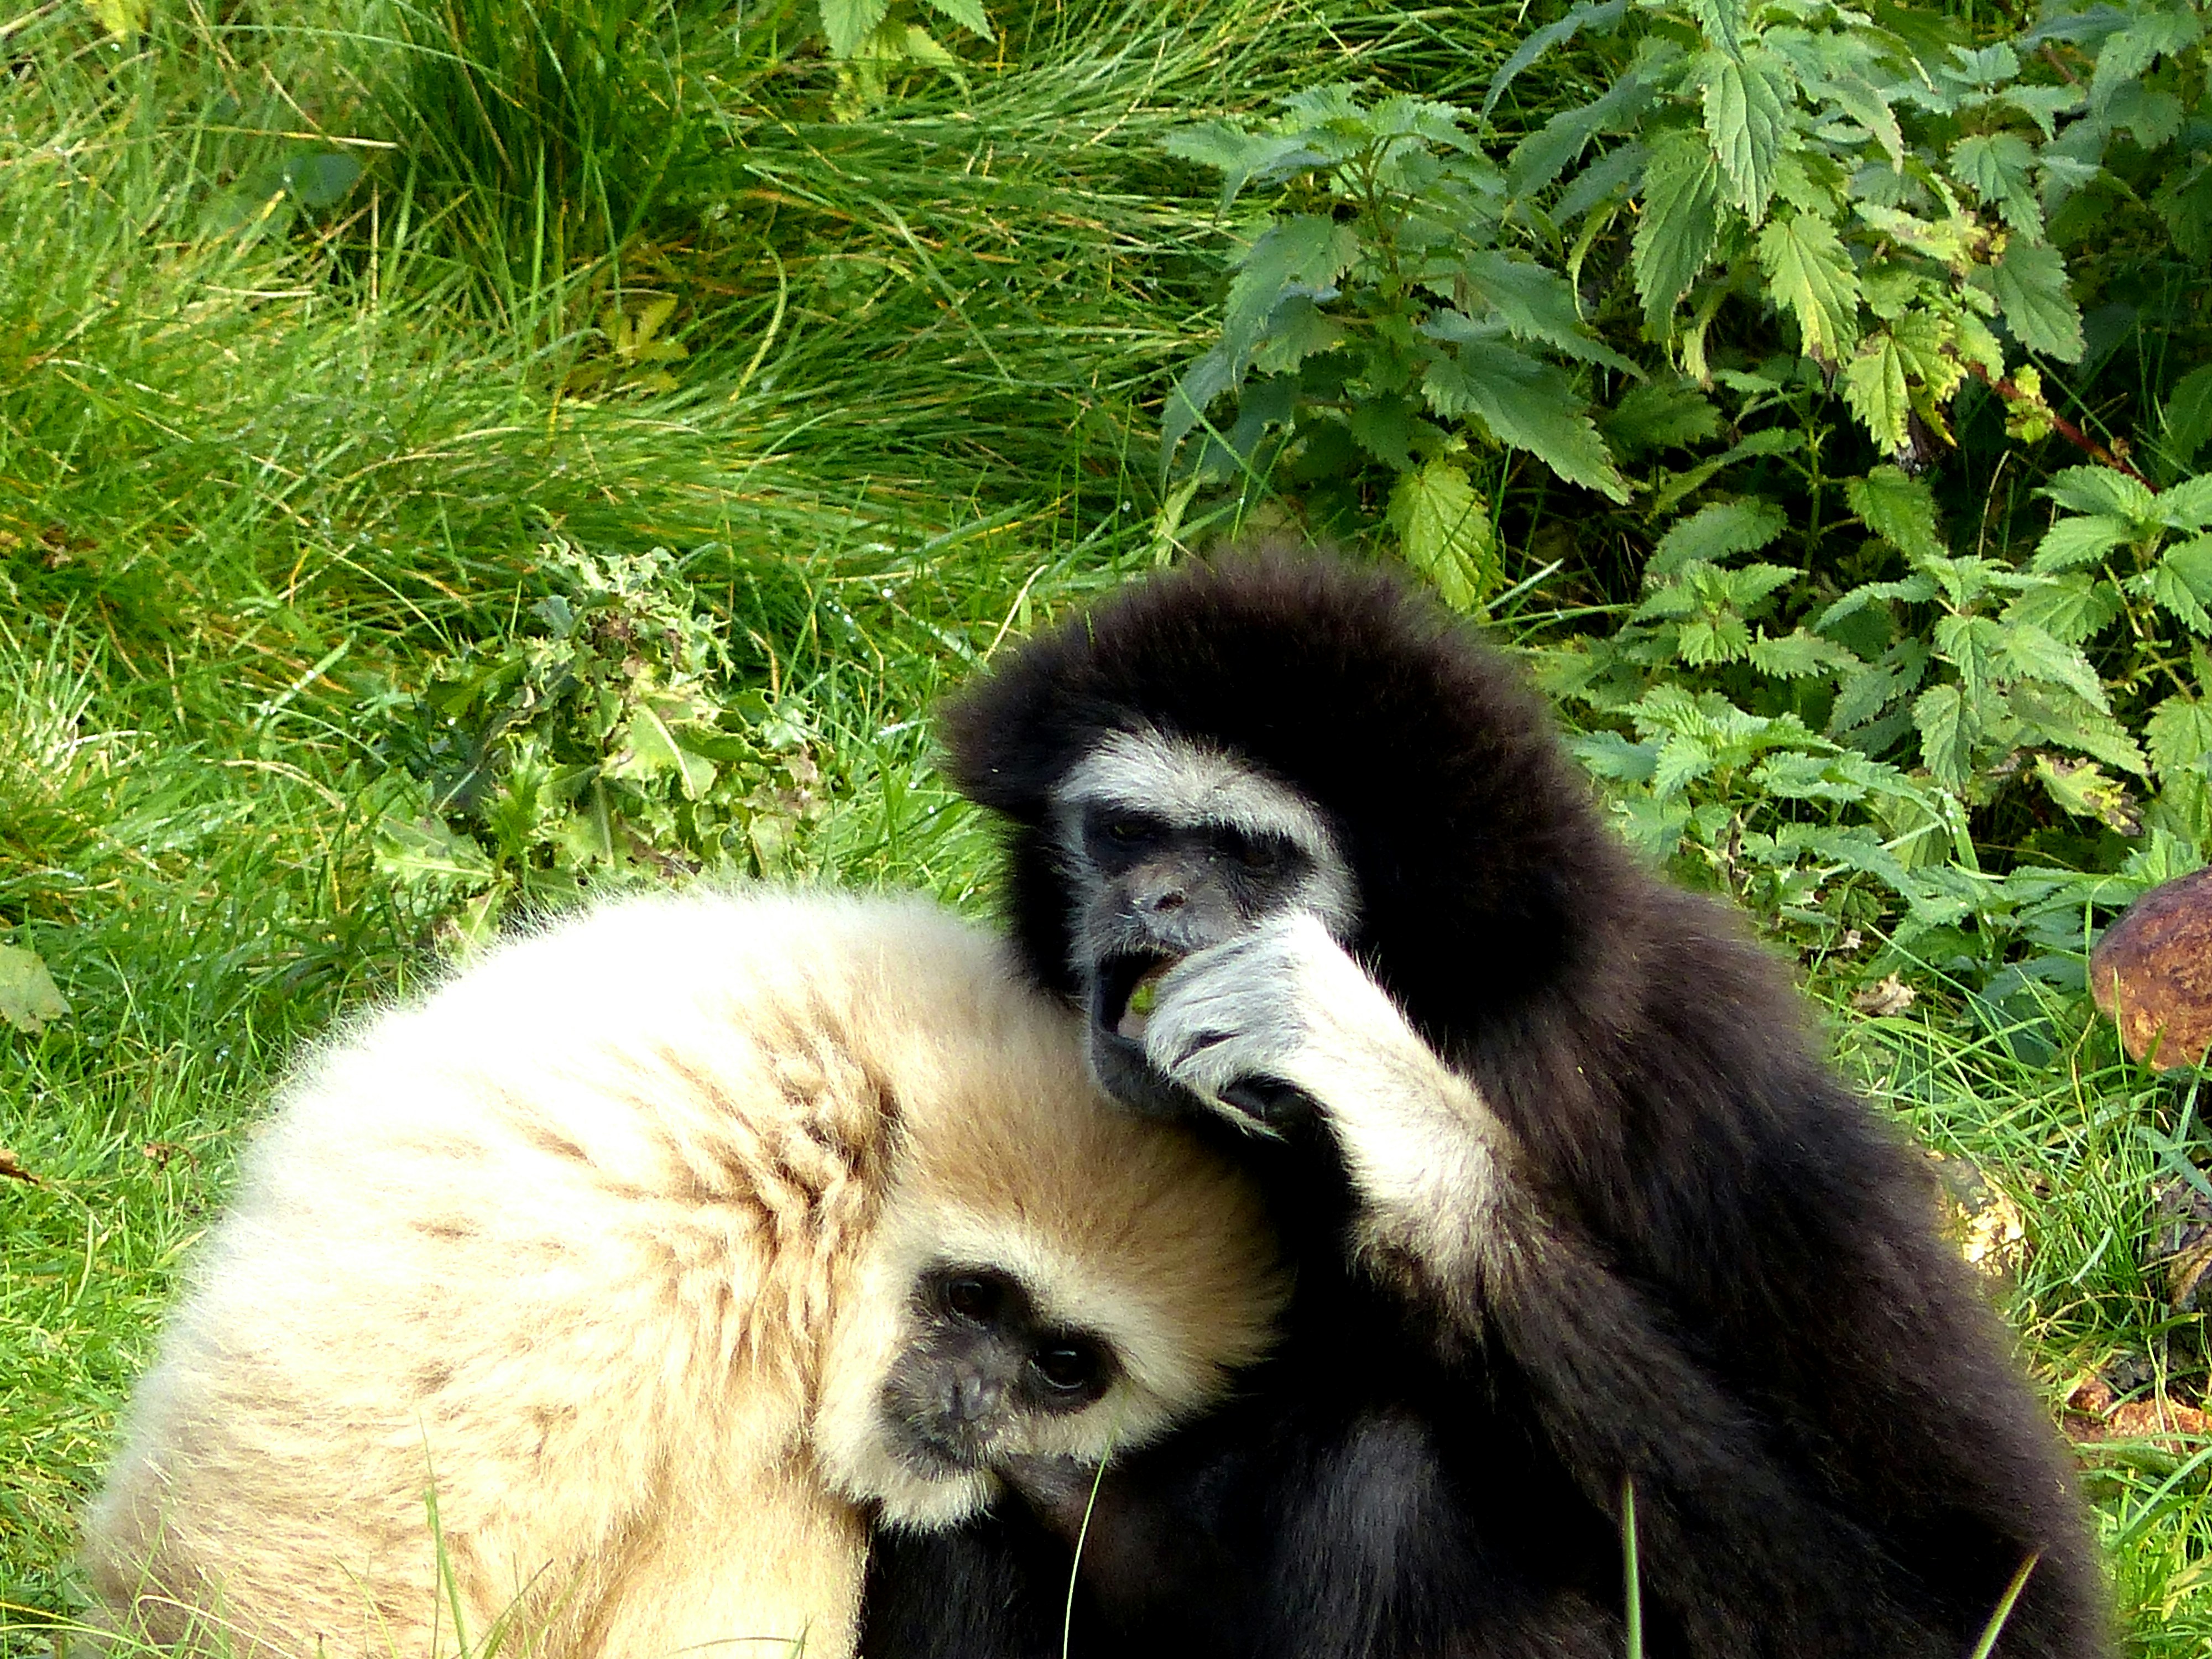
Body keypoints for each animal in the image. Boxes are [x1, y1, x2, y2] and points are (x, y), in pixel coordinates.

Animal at [859, 552, 2111, 1659]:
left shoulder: (1703, 1066)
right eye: (1124, 832)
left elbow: (1968, 1615)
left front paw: (1381, 1098)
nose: (1154, 894)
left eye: (1253, 857)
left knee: (1390, 1487)